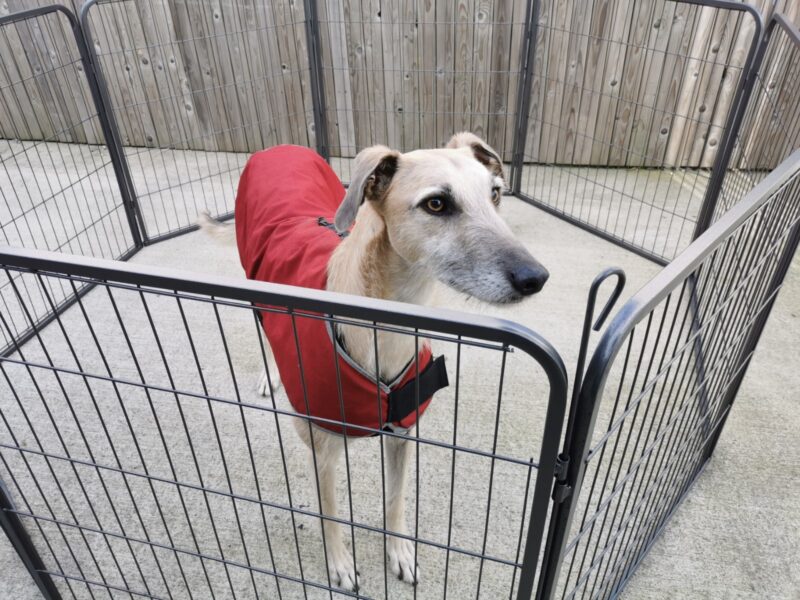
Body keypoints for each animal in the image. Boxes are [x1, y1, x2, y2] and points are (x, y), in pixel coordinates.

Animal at [200, 132, 552, 592]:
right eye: (436, 203)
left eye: (495, 193)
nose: (535, 278)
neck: (384, 327)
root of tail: (278, 147)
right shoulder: (321, 448)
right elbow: (330, 513)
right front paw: (339, 564)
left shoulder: (403, 433)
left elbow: (395, 500)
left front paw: (399, 552)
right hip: (256, 285)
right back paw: (270, 372)